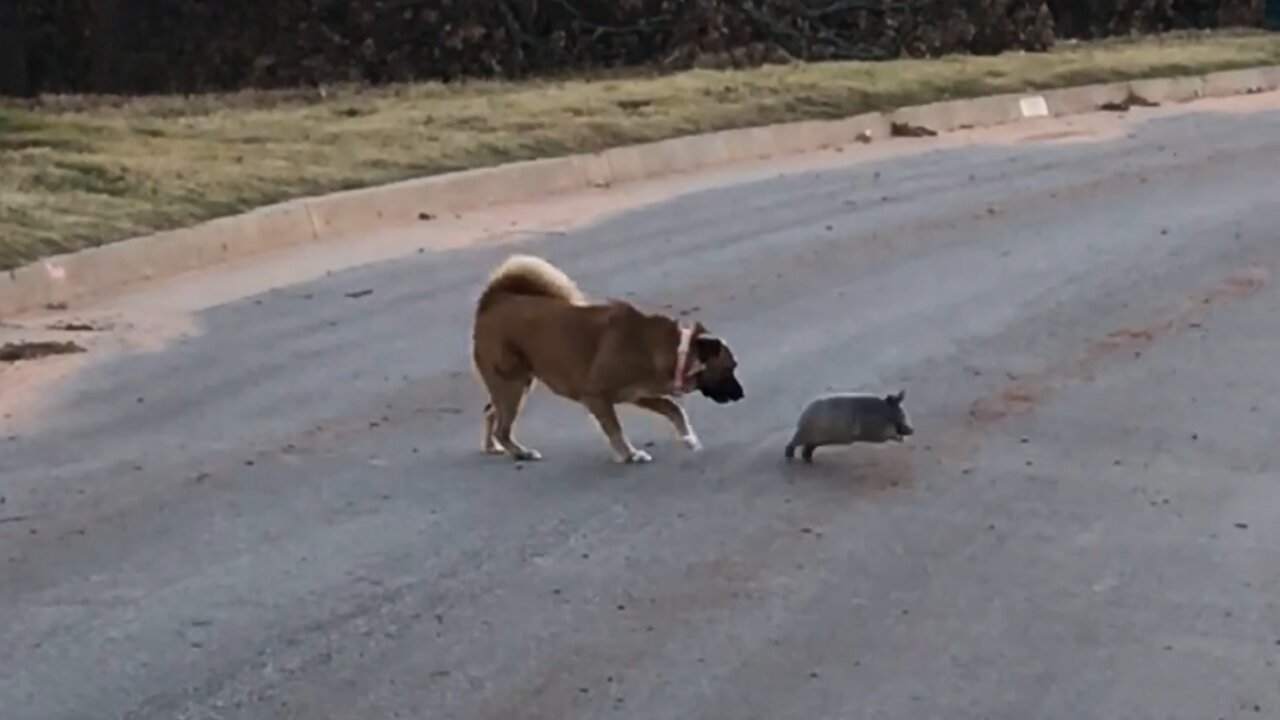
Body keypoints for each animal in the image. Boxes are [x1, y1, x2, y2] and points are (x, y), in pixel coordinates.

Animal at [476, 254, 747, 461]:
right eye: (730, 368)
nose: (741, 395)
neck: (671, 350)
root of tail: (494, 299)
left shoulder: (639, 394)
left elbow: (674, 409)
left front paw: (689, 439)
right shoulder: (597, 397)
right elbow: (616, 430)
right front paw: (630, 455)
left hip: (514, 385)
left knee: (491, 411)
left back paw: (493, 447)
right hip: (511, 384)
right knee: (502, 427)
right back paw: (520, 452)